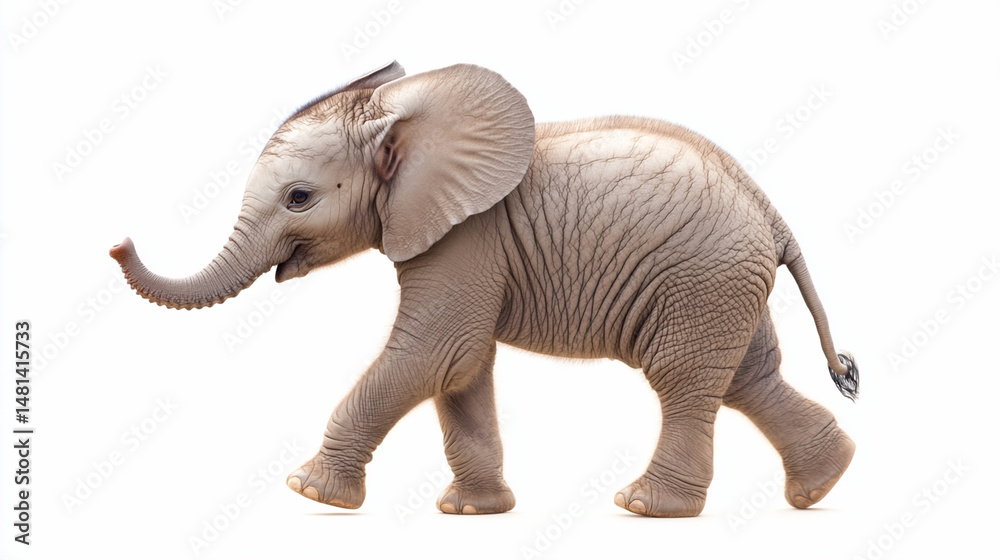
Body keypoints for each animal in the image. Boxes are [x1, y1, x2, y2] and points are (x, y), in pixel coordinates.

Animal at [110, 61, 859, 518]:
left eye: (299, 198)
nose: (117, 242)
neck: (398, 115)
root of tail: (771, 213)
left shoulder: (466, 238)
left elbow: (437, 353)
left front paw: (308, 493)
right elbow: (462, 370)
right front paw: (471, 513)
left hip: (702, 279)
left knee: (684, 380)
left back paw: (646, 508)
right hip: (725, 283)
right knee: (746, 378)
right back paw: (824, 483)